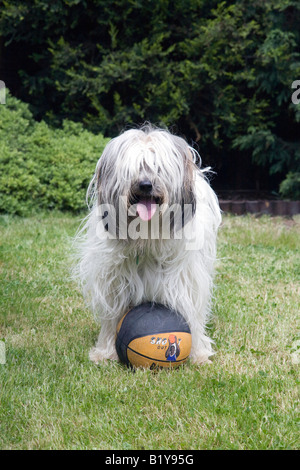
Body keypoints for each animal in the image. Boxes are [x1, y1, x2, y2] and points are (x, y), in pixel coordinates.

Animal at [74, 124, 221, 364]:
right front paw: (105, 352)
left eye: (157, 168)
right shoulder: (116, 282)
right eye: (132, 170)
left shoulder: (183, 279)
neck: (147, 234)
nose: (145, 185)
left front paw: (198, 354)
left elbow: (191, 311)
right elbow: (112, 317)